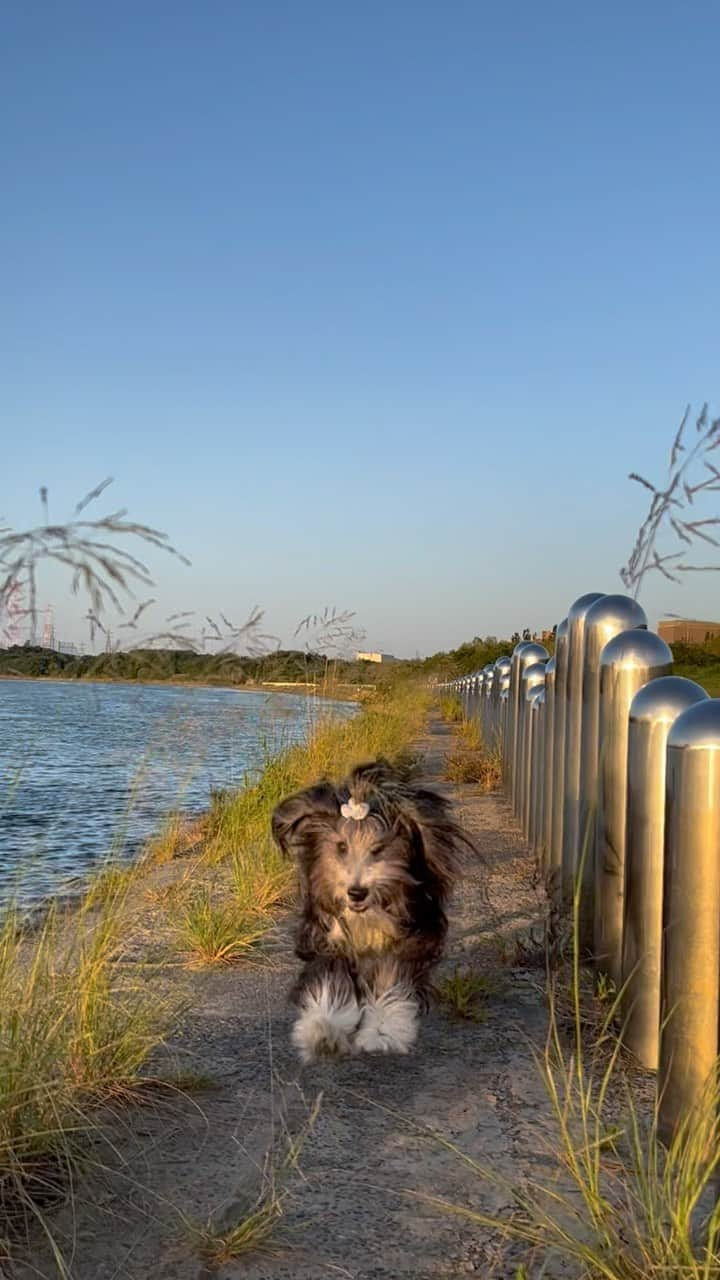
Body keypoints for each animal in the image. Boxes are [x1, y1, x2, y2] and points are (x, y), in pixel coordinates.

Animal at [271, 757, 468, 1059]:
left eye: (377, 849)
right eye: (341, 847)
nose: (357, 892)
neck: (365, 917)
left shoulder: (405, 939)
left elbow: (390, 978)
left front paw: (381, 1031)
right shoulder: (328, 940)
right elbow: (330, 979)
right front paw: (324, 1029)